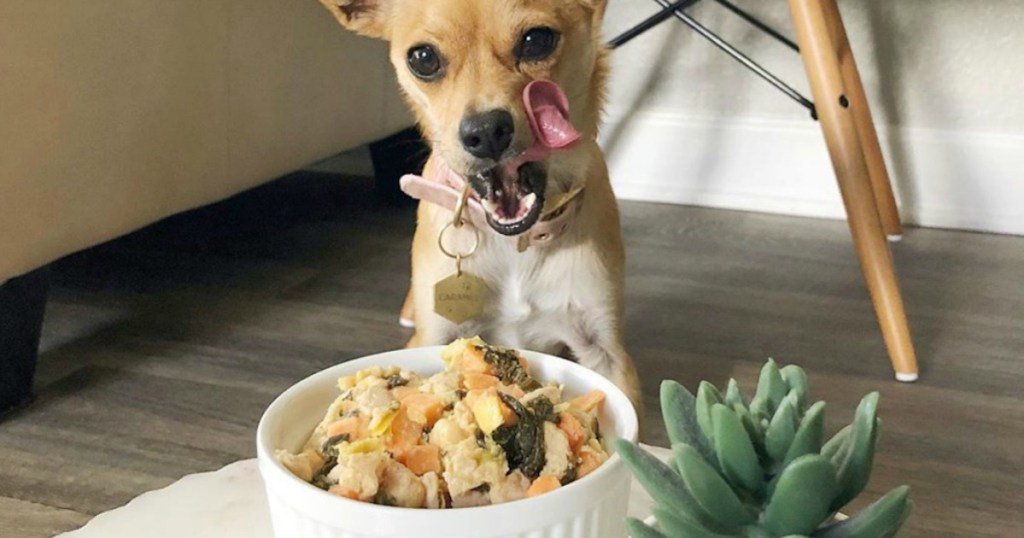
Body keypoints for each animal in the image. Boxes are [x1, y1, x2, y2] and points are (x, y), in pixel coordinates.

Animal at [317, 0, 638, 409]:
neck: (514, 244)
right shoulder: (432, 337)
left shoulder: (607, 353)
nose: (485, 132)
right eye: (423, 58)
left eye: (537, 40)